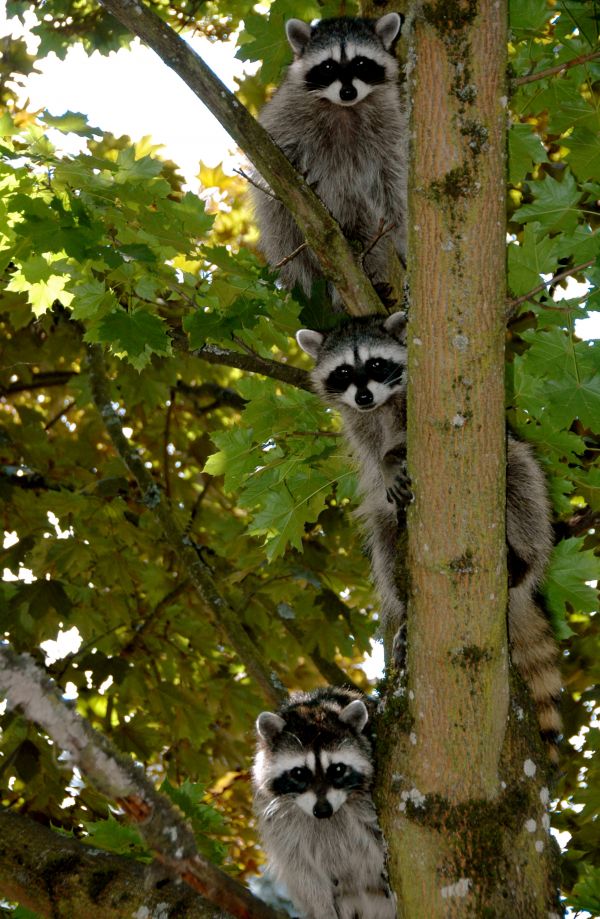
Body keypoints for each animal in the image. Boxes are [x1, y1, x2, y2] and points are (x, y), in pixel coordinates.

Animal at [248, 12, 408, 306]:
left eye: (360, 63)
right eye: (328, 66)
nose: (347, 93)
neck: (344, 108)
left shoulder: (389, 126)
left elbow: (392, 179)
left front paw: (402, 231)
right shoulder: (286, 114)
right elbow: (271, 158)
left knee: (368, 233)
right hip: (288, 236)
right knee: (286, 228)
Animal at [254, 688, 398, 919]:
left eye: (337, 769)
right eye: (299, 773)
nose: (323, 811)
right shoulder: (278, 820)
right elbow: (303, 870)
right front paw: (323, 907)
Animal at [298, 312, 564, 760]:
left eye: (376, 365)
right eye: (344, 372)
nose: (364, 396)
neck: (383, 402)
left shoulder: (414, 405)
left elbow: (404, 443)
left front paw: (393, 457)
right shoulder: (361, 424)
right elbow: (374, 460)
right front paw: (386, 463)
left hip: (515, 485)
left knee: (523, 482)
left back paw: (523, 560)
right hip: (390, 532)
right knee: (384, 537)